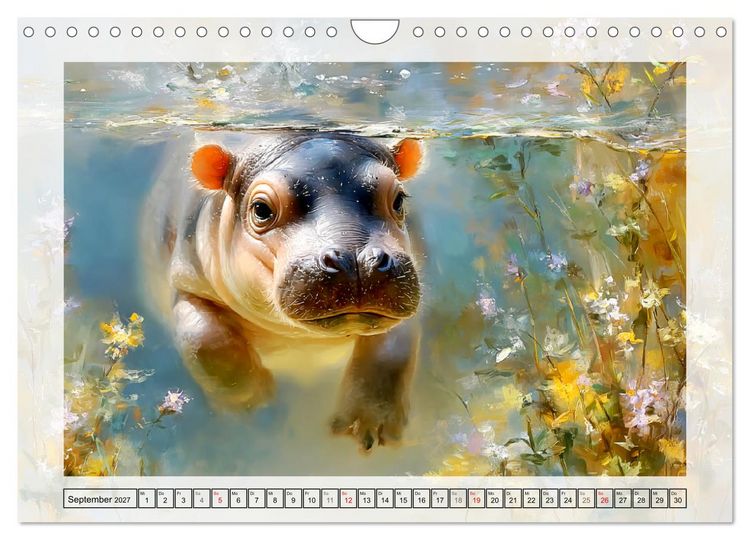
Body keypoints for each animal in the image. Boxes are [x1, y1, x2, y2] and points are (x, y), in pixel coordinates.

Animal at [140, 131, 424, 451]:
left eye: (399, 200)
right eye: (261, 209)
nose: (357, 260)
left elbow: (391, 352)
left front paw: (367, 427)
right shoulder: (188, 283)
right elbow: (205, 341)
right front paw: (261, 406)